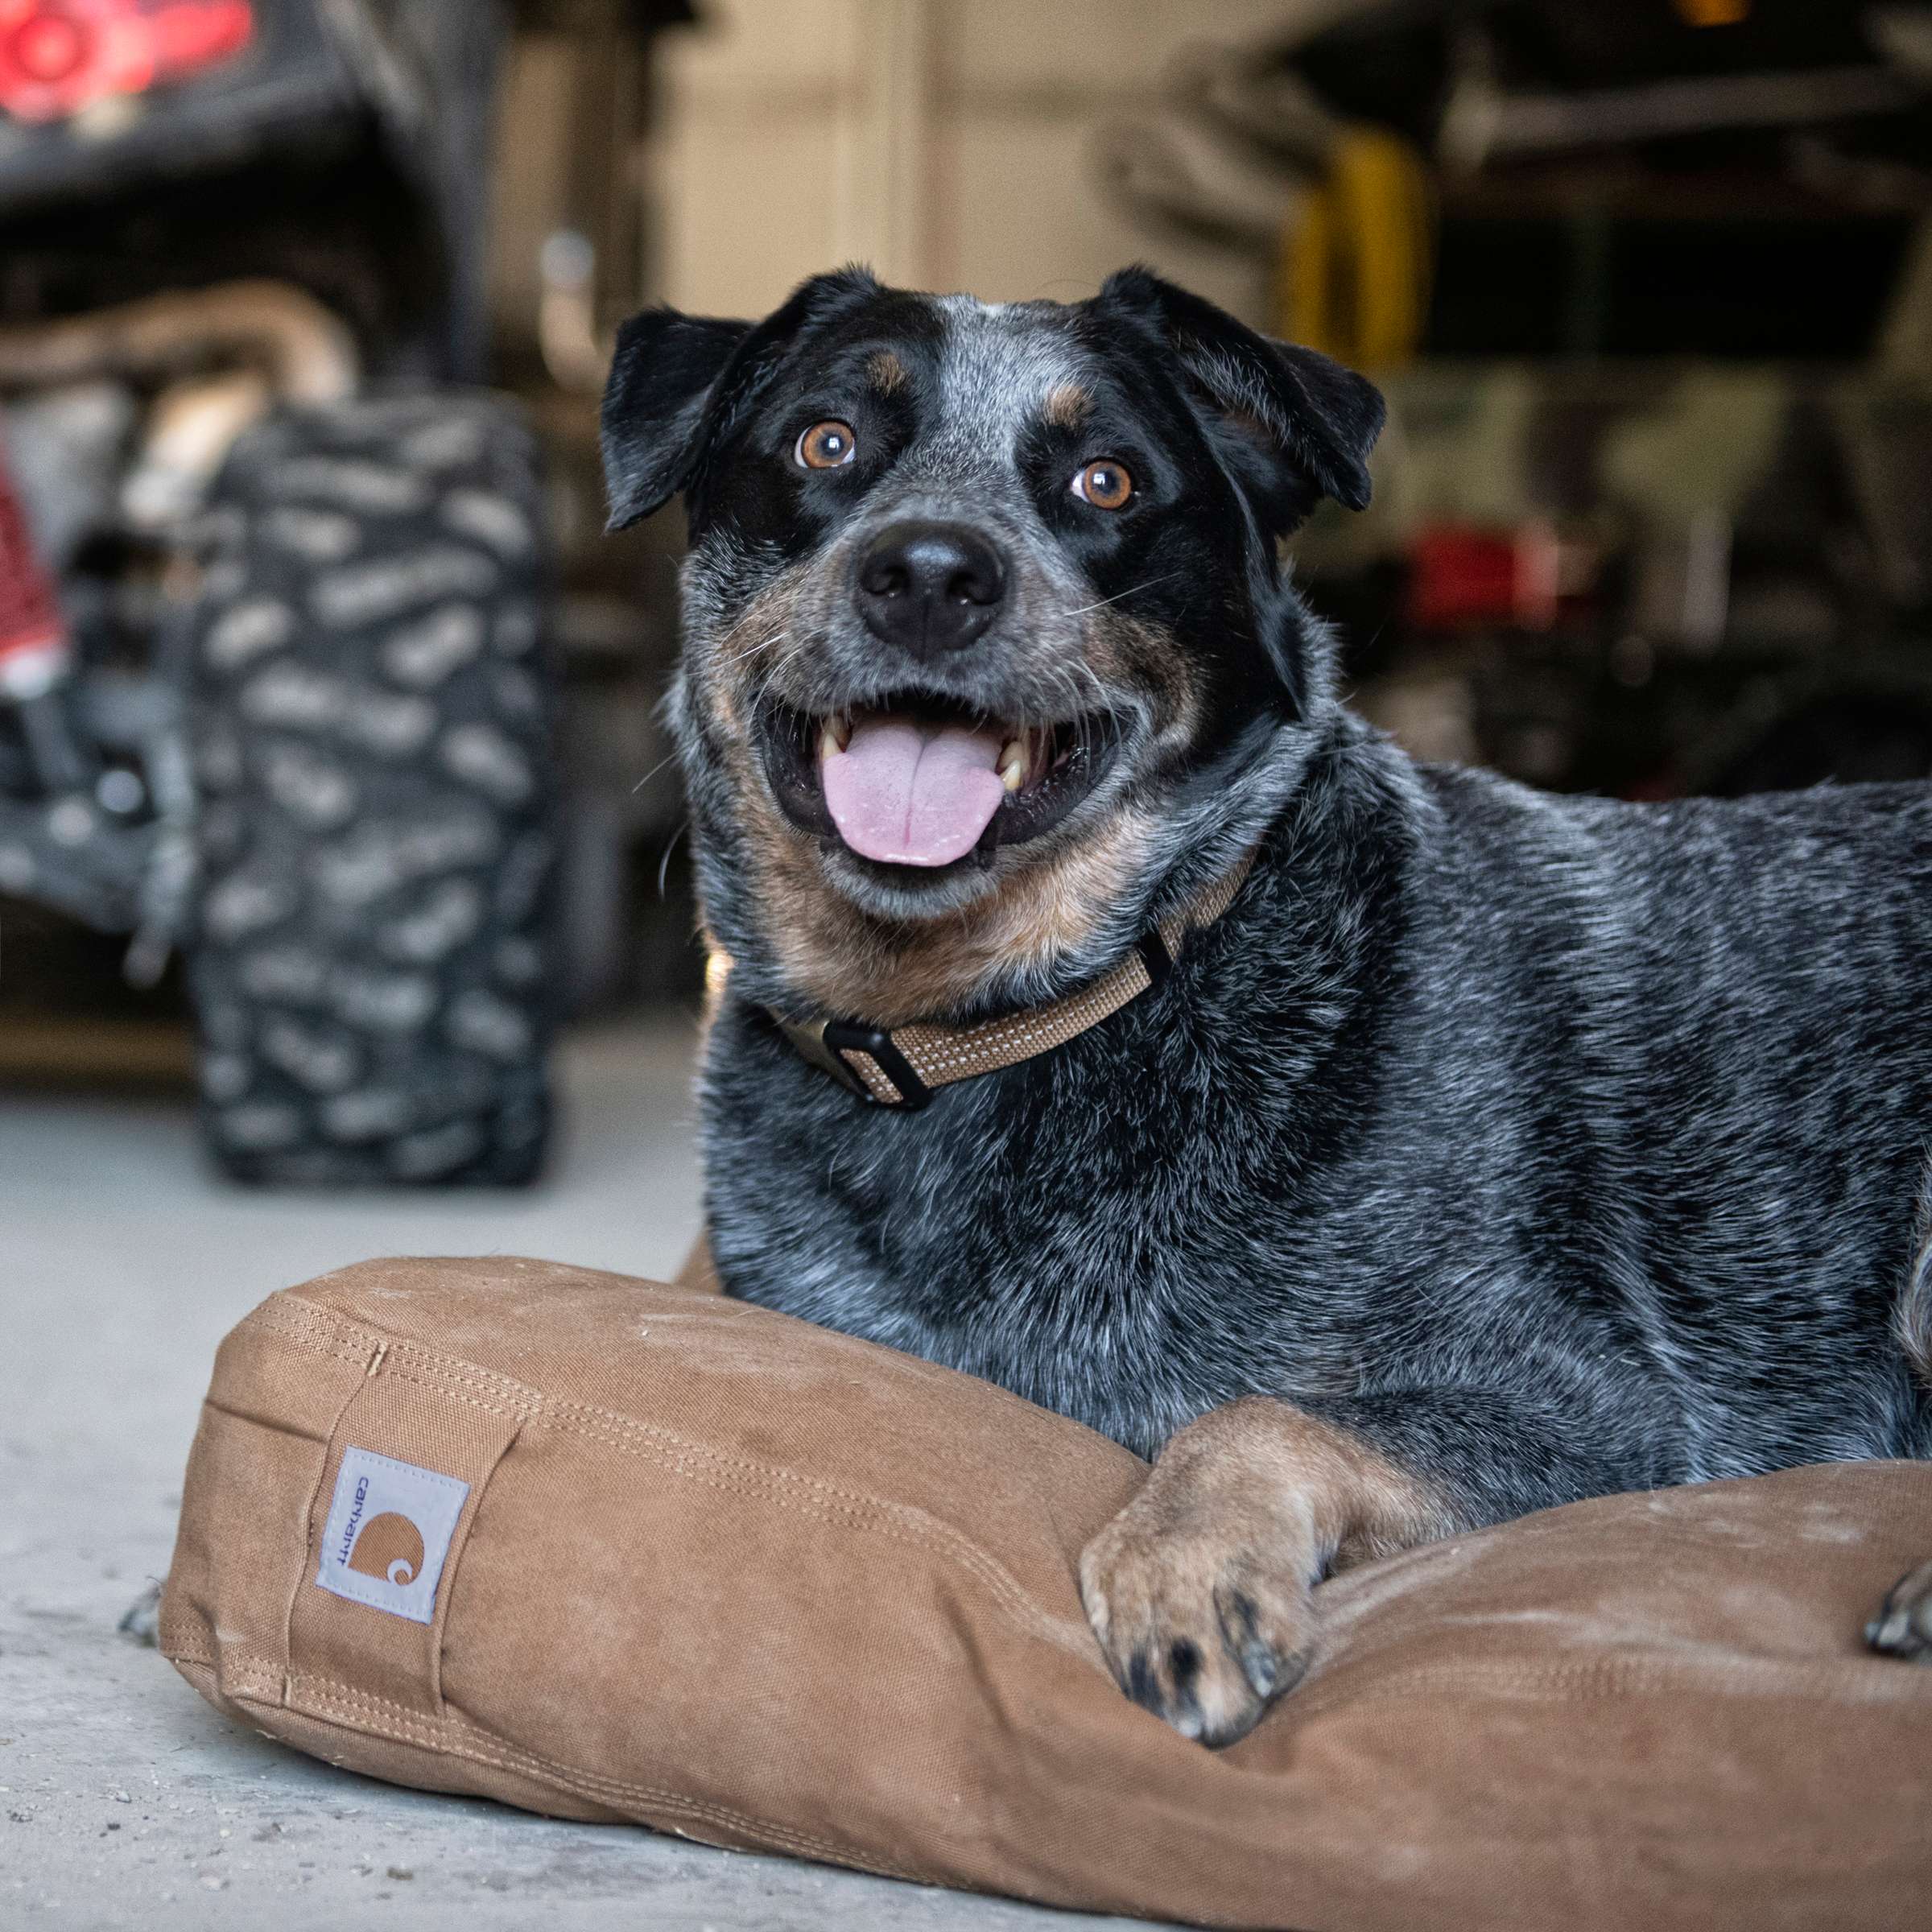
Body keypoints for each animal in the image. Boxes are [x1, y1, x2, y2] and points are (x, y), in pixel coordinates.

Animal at [599, 264, 1932, 1746]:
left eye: (1109, 479)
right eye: (826, 444)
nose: (932, 574)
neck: (1018, 1024)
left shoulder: (1609, 1409)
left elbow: (1256, 1415)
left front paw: (1186, 1567)